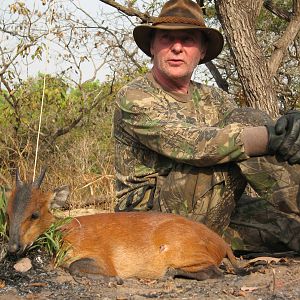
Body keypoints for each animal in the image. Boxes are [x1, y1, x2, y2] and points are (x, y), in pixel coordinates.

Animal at [5, 169, 245, 282]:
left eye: (34, 214)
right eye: (7, 213)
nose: (12, 248)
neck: (67, 230)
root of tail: (222, 243)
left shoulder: (100, 258)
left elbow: (76, 267)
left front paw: (116, 279)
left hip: (184, 253)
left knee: (215, 272)